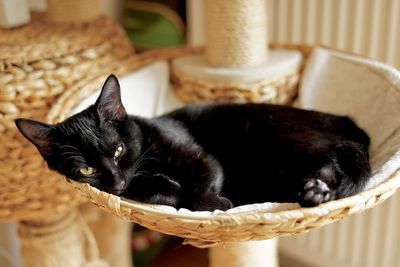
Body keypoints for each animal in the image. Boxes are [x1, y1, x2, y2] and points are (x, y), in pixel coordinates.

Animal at [15, 75, 372, 211]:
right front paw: (166, 190)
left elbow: (201, 186)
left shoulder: (199, 158)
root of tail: (345, 120)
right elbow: (159, 190)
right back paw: (314, 191)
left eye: (118, 150)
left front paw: (219, 205)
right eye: (86, 170)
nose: (115, 181)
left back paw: (317, 191)